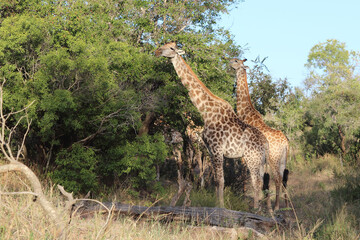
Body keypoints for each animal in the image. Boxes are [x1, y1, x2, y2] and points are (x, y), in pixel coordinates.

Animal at [155, 42, 270, 210]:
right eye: (165, 44)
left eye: (171, 48)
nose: (157, 51)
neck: (205, 111)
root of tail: (266, 144)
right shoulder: (210, 149)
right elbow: (215, 180)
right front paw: (216, 203)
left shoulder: (217, 148)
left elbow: (220, 180)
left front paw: (221, 206)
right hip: (260, 161)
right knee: (261, 182)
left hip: (252, 158)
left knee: (256, 182)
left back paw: (255, 209)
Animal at [229, 58, 292, 210]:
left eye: (236, 61)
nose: (229, 63)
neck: (246, 114)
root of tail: (286, 143)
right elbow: (263, 179)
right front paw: (264, 202)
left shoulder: (246, 155)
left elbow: (247, 175)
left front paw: (246, 197)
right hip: (283, 159)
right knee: (283, 177)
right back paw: (285, 205)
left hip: (274, 158)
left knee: (277, 178)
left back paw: (276, 206)